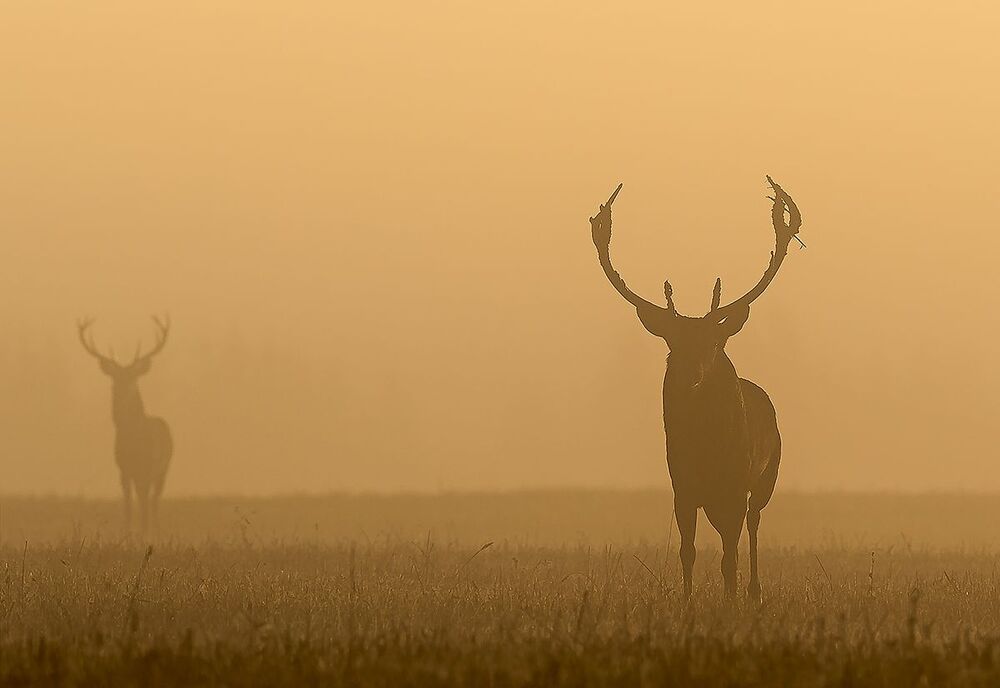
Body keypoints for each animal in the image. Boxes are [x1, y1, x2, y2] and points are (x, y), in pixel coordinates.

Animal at [77, 316, 173, 537]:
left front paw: (144, 533)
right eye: (115, 379)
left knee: (153, 501)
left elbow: (144, 503)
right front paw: (128, 533)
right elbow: (128, 504)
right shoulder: (123, 469)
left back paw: (155, 529)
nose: (122, 390)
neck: (133, 439)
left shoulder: (147, 467)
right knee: (146, 499)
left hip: (163, 469)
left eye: (133, 378)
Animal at [589, 177, 802, 601]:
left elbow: (729, 558)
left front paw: (731, 602)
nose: (691, 374)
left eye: (713, 344)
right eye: (673, 345)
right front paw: (687, 603)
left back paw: (753, 591)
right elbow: (687, 552)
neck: (705, 448)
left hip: (767, 477)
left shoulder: (734, 487)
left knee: (754, 524)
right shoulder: (682, 487)